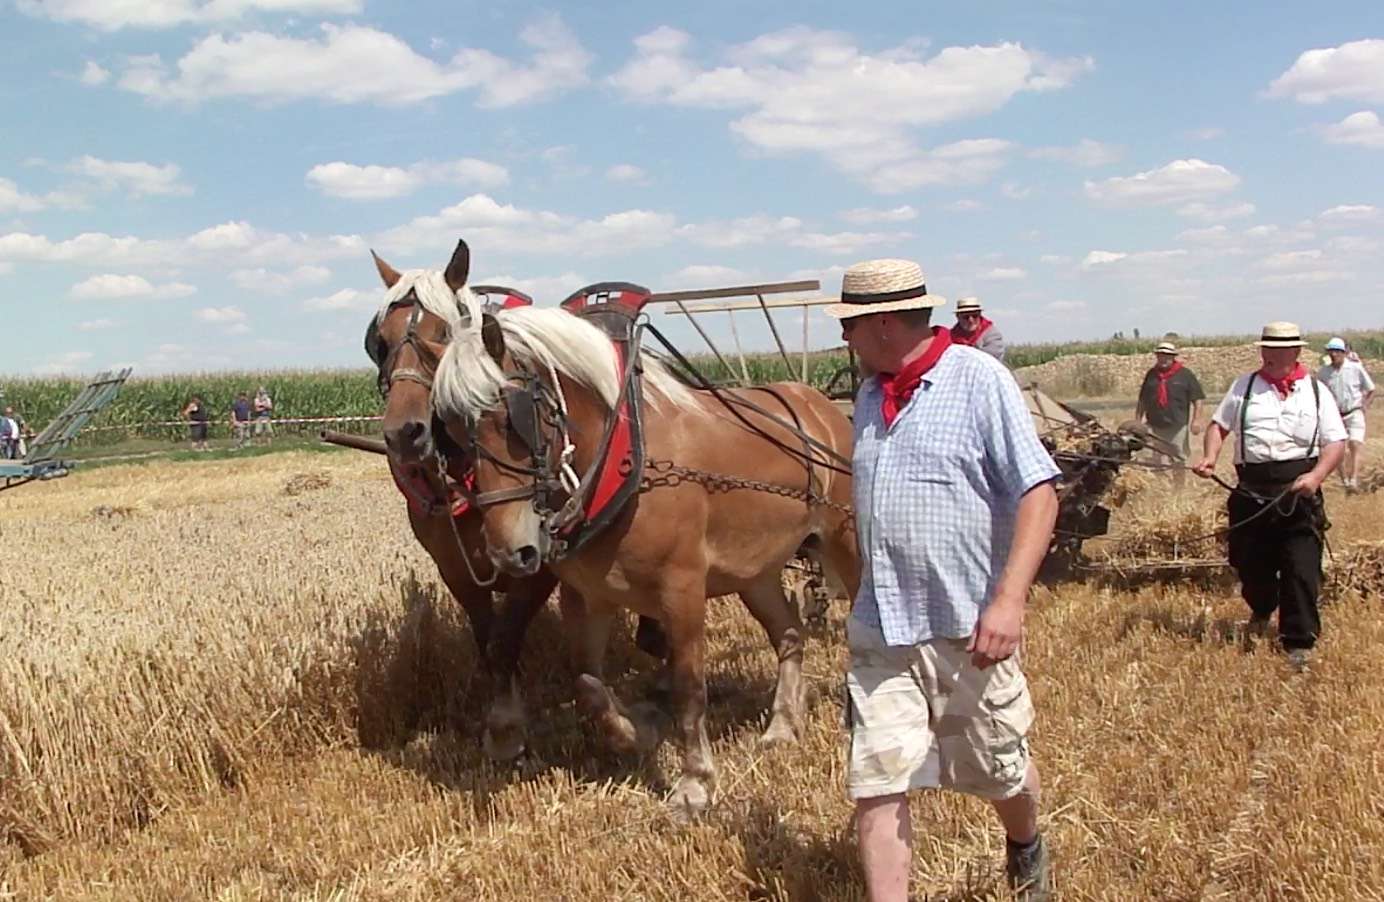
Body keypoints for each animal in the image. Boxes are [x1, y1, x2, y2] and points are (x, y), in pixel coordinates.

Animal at [368, 246, 561, 763]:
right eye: (380, 341)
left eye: (445, 332)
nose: (404, 433)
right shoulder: (454, 566)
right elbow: (487, 640)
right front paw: (499, 714)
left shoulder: (541, 558)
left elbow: (507, 636)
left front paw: (508, 730)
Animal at [437, 249, 858, 818]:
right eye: (452, 431)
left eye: (513, 419)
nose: (510, 552)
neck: (624, 459)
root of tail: (821, 404)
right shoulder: (587, 594)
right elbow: (587, 682)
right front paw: (636, 733)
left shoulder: (682, 588)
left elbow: (688, 686)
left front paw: (695, 782)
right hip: (757, 571)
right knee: (789, 634)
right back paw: (782, 727)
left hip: (846, 541)